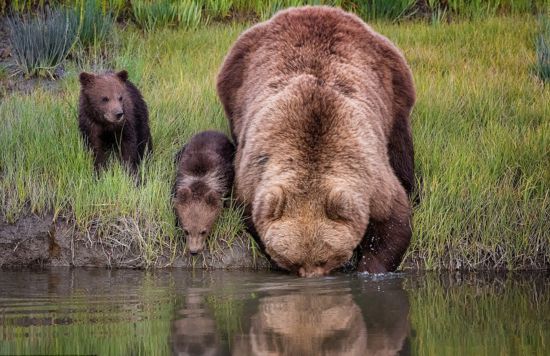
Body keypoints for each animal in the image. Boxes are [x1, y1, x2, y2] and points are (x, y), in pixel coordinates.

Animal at [218, 6, 416, 278]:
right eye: (294, 261)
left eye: (326, 258)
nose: (312, 278)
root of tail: (314, 8)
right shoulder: (252, 177)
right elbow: (250, 216)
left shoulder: (371, 176)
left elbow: (393, 221)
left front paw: (369, 268)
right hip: (236, 79)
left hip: (393, 83)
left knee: (400, 148)